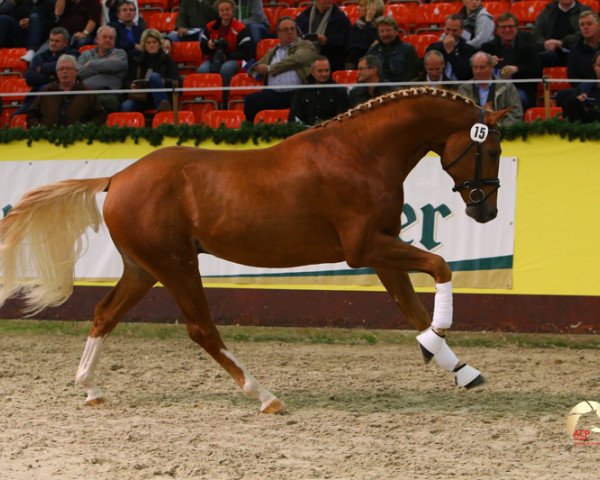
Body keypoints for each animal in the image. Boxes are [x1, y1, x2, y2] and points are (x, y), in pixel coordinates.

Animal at [0, 86, 508, 412]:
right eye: (491, 150)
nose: (486, 211)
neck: (360, 154)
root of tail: (117, 178)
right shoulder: (365, 248)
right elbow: (440, 267)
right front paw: (436, 346)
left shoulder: (381, 250)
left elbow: (412, 307)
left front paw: (458, 367)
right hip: (176, 265)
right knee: (201, 330)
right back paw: (264, 396)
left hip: (143, 269)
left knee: (105, 314)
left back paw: (89, 388)